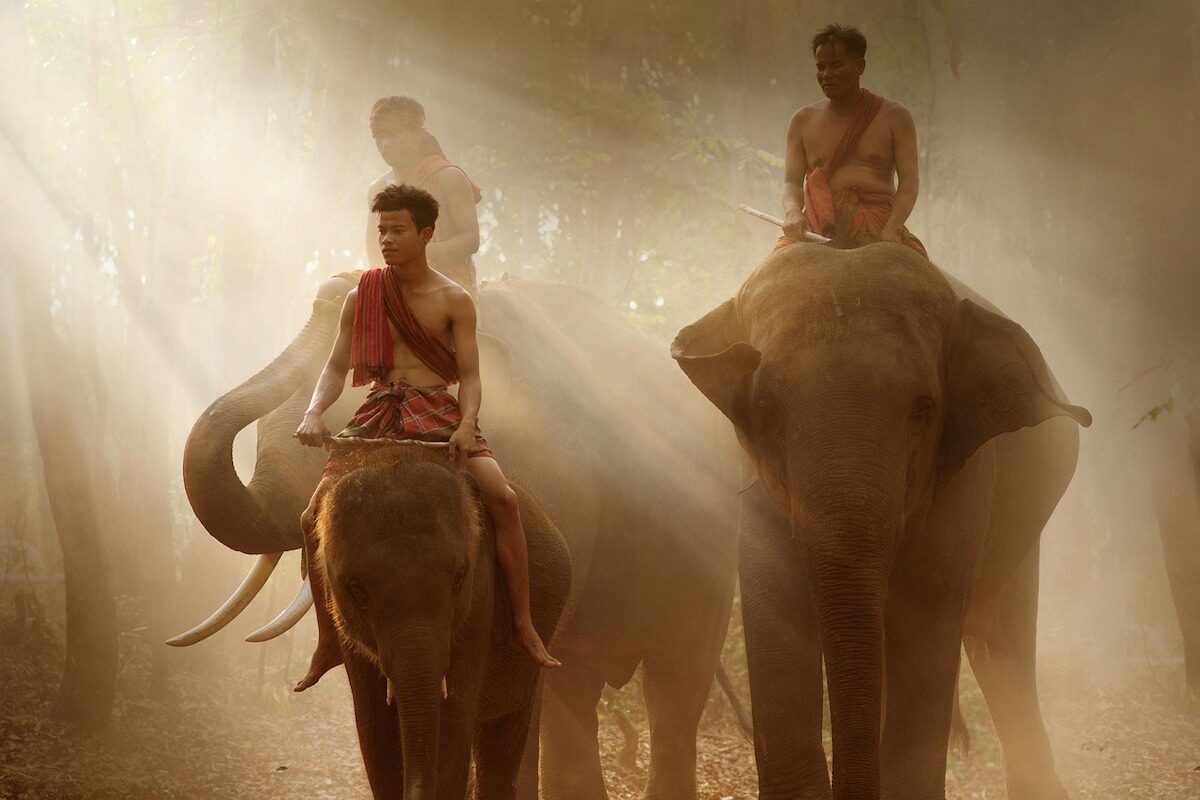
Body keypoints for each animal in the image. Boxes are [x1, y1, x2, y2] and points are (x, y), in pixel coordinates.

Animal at [313, 444, 571, 799]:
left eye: (459, 578)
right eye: (358, 591)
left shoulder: (481, 599)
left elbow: (452, 727)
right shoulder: (347, 630)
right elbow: (375, 733)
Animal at [672, 242, 1092, 800]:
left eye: (925, 408)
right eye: (764, 405)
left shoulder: (965, 477)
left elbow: (925, 612)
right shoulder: (753, 476)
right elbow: (774, 606)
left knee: (1000, 644)